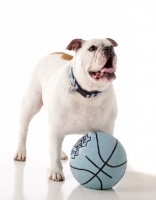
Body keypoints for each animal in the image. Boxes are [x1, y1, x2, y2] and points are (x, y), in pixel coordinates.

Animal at [14, 38, 117, 182]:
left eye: (112, 46)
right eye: (92, 48)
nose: (109, 49)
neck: (89, 93)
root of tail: (53, 53)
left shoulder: (106, 129)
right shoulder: (56, 128)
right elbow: (54, 153)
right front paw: (56, 172)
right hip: (30, 104)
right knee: (23, 132)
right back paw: (21, 152)